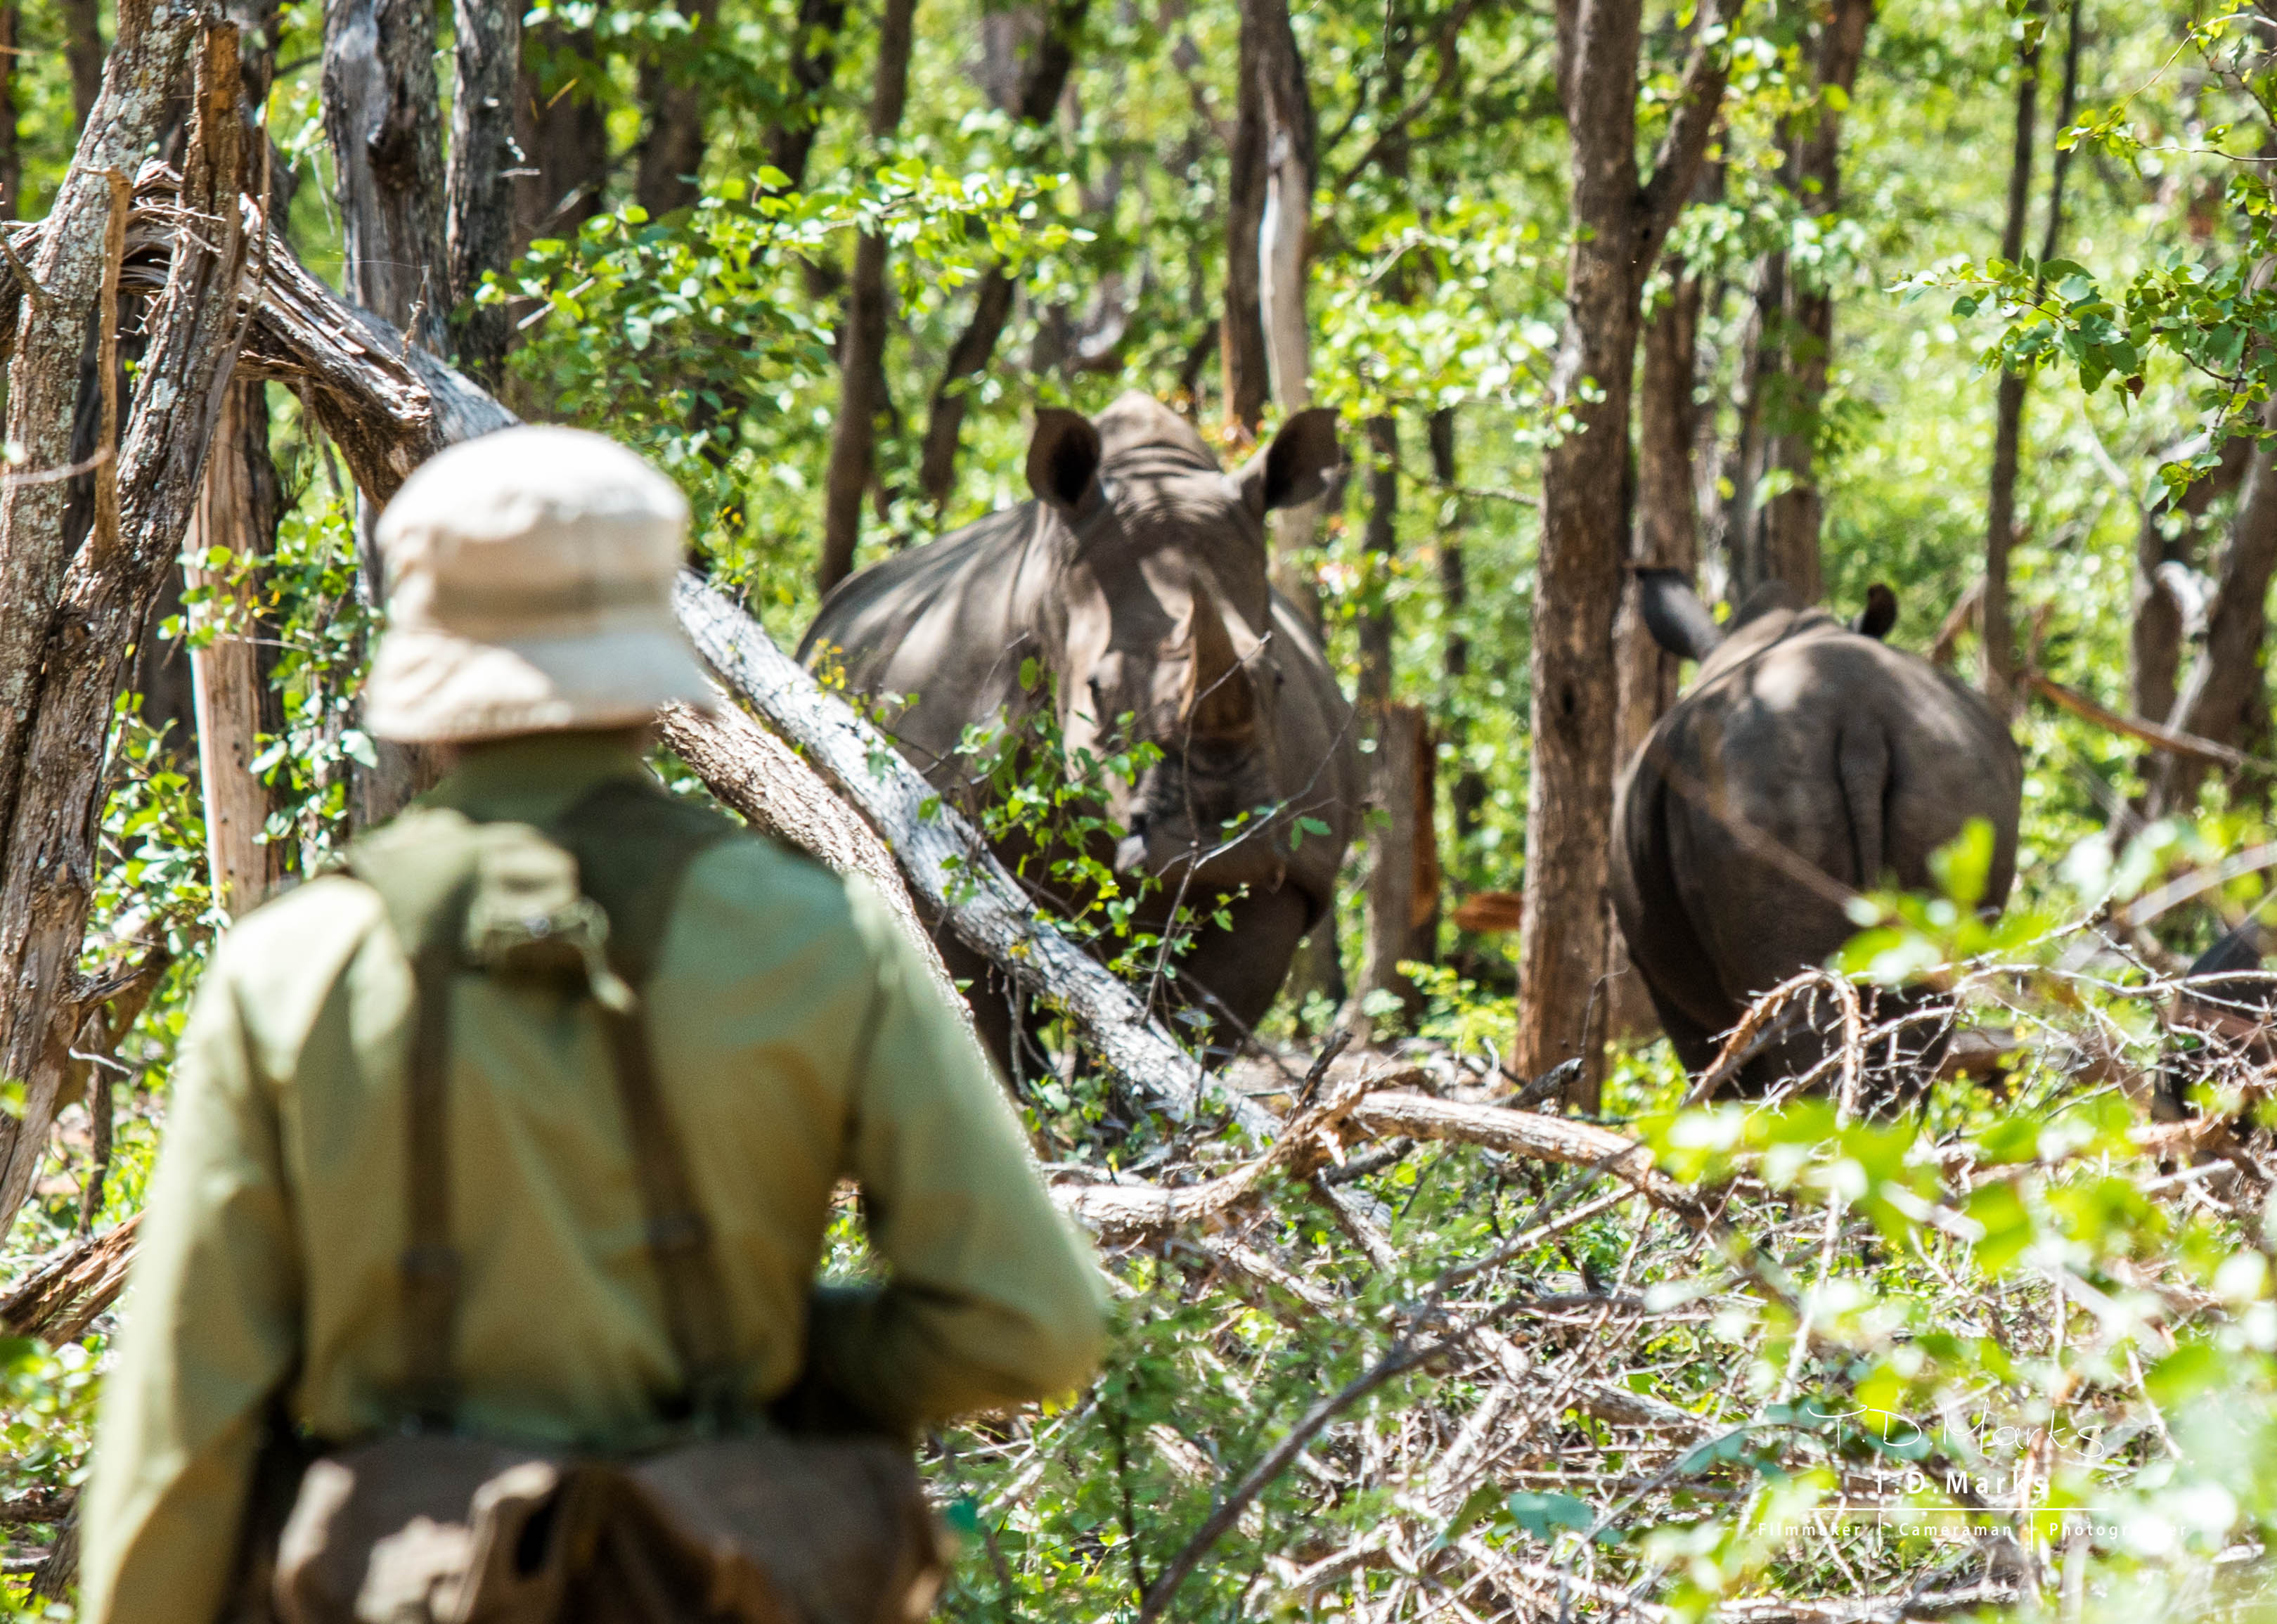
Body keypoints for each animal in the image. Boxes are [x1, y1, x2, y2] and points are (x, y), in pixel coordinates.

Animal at [798, 392, 1362, 1071]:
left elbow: (1182, 1037)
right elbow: (985, 1020)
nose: (1223, 841)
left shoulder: (1286, 878)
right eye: (1096, 689)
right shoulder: (932, 840)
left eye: (1276, 680)